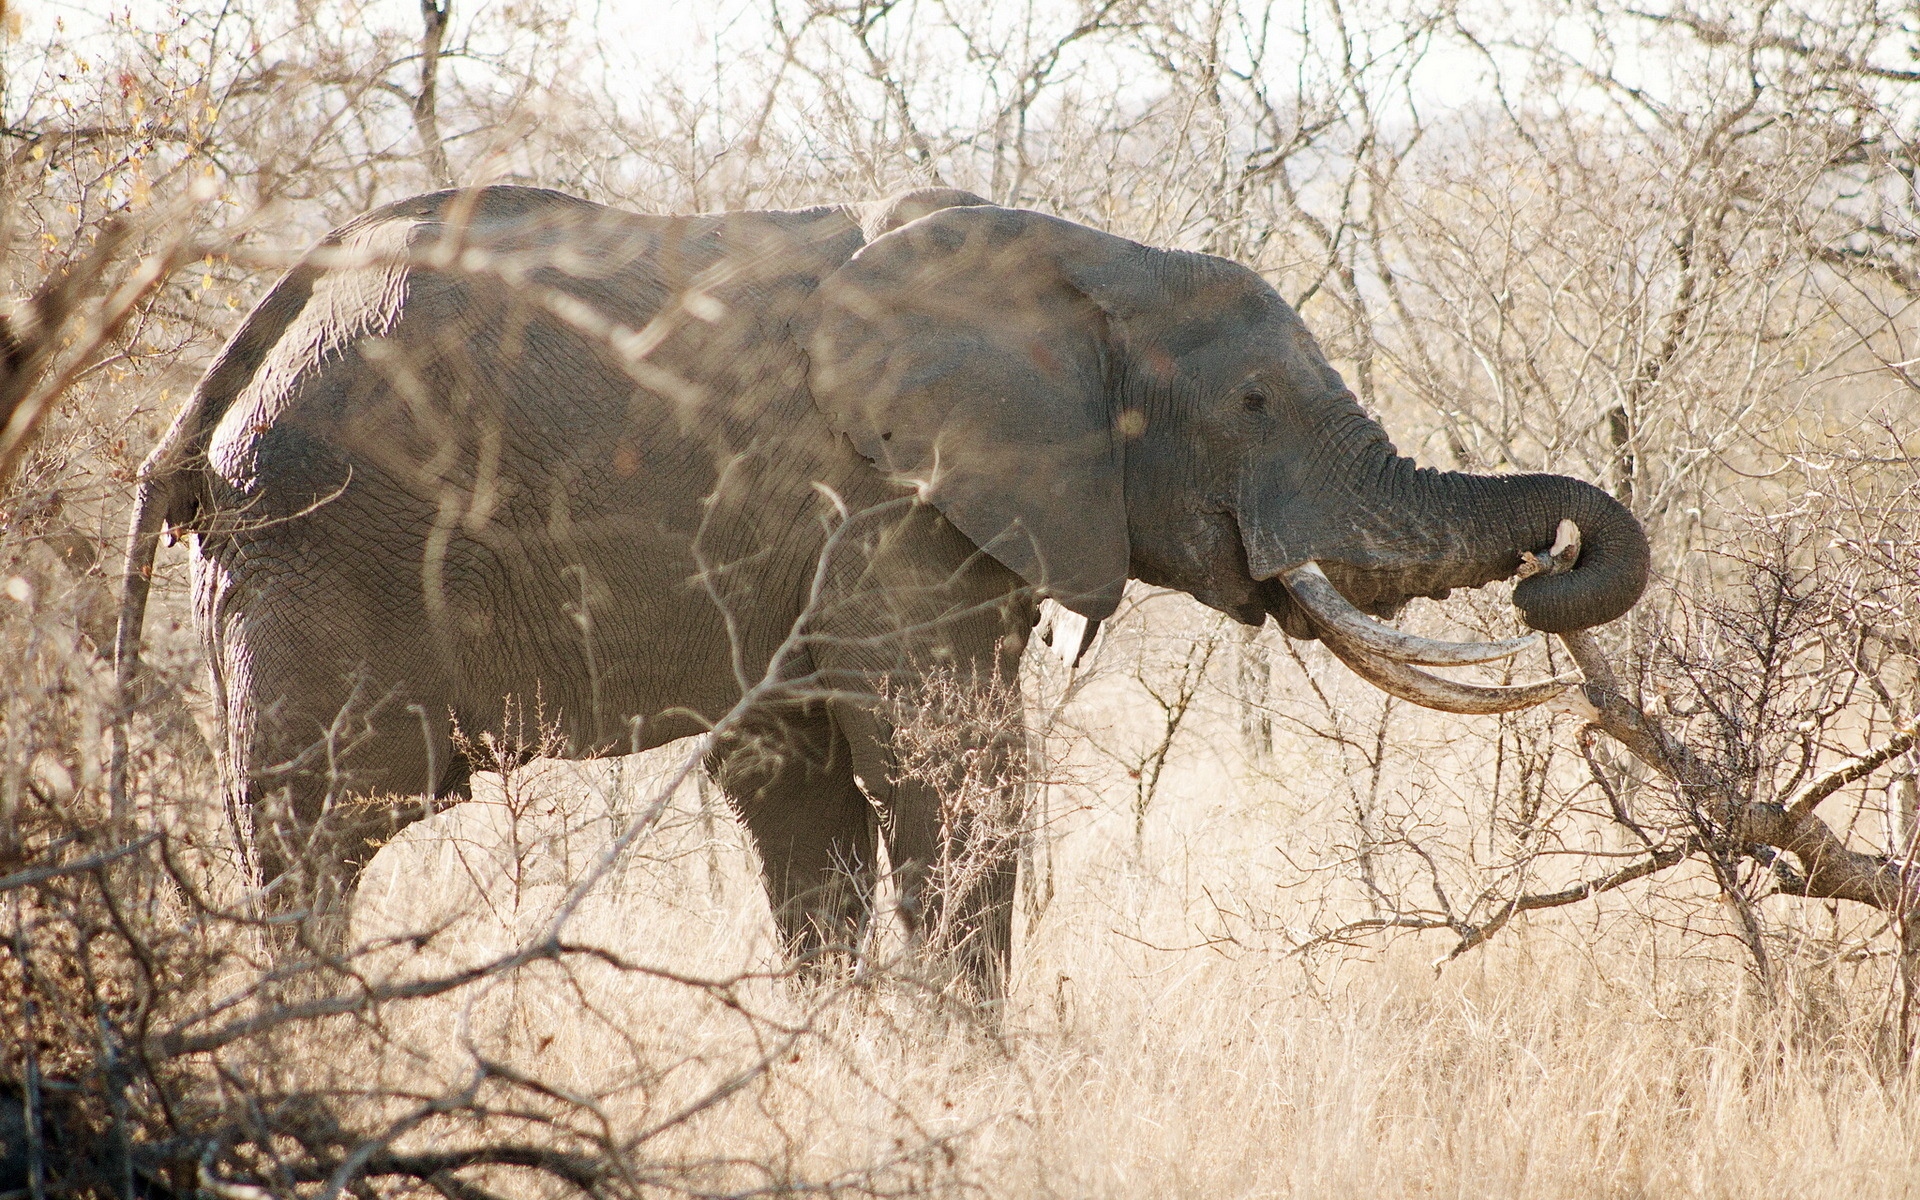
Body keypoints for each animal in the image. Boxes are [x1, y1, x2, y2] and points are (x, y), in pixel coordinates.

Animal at [114, 184, 1649, 994]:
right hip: (322, 546)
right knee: (318, 830)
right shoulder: (886, 518)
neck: (1078, 261)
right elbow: (943, 774)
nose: (1549, 576)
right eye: (1257, 404)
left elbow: (804, 804)